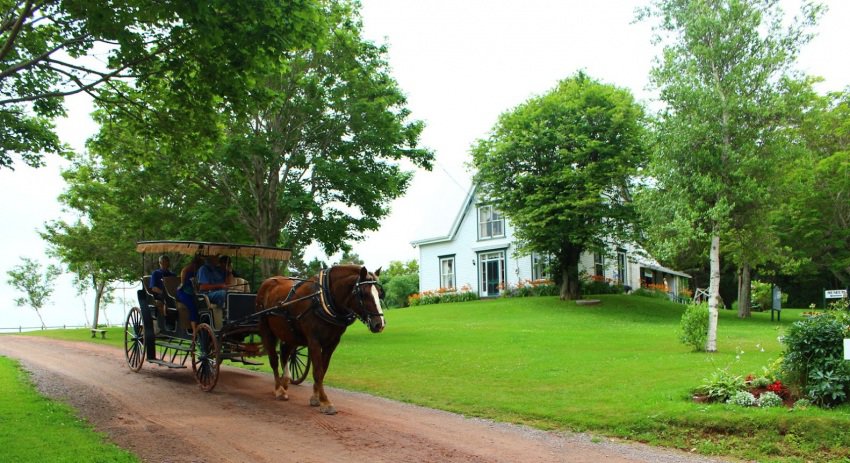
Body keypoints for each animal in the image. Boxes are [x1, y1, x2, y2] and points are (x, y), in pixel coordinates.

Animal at [253, 266, 382, 416]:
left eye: (379, 293)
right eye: (364, 294)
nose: (380, 324)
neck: (322, 299)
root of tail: (267, 282)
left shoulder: (331, 343)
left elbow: (322, 369)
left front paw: (316, 398)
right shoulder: (313, 341)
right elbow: (318, 371)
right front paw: (325, 401)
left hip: (289, 333)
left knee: (284, 355)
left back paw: (285, 381)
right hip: (266, 329)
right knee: (274, 359)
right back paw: (279, 389)